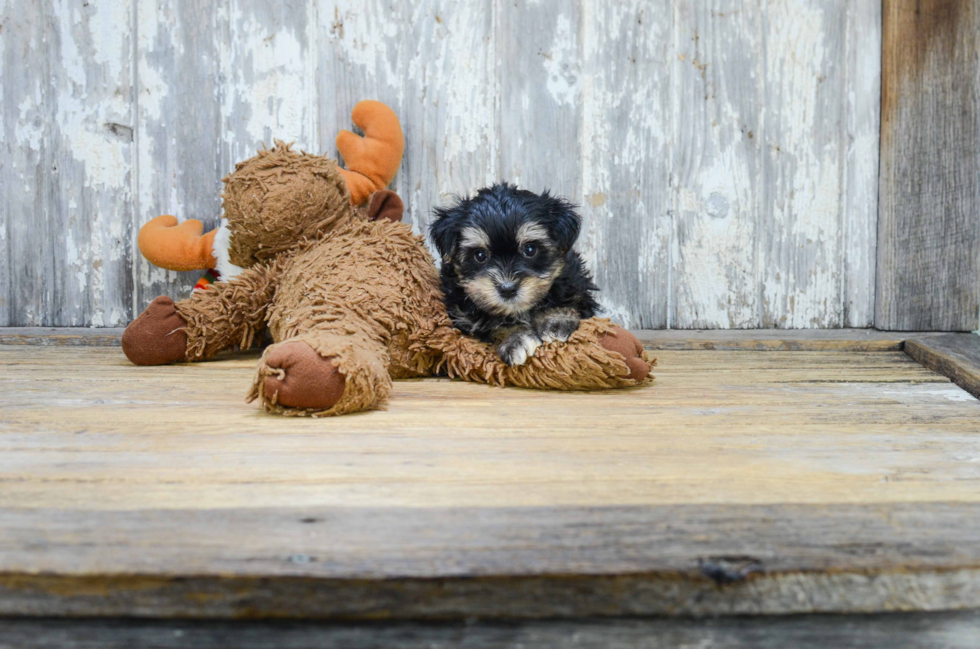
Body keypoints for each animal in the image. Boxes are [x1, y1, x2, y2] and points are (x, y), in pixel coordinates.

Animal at [426, 182, 596, 364]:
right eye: (480, 255)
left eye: (530, 249)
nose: (507, 289)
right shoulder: (464, 318)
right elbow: (496, 325)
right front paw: (516, 339)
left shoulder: (575, 284)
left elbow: (568, 300)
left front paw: (557, 322)